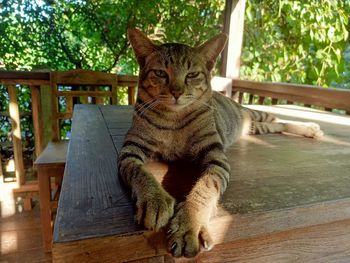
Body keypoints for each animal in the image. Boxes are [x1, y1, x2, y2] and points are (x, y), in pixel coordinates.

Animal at [118, 28, 322, 258]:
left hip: (256, 114)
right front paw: (156, 200)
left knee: (279, 118)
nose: (177, 92)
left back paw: (310, 127)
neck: (174, 120)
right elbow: (138, 171)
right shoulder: (131, 147)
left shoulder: (215, 154)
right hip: (256, 128)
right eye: (161, 73)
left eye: (192, 75)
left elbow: (206, 186)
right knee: (277, 125)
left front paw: (189, 224)